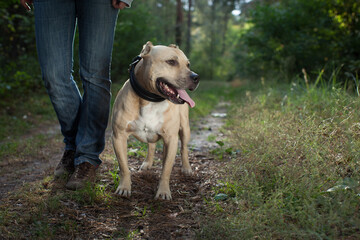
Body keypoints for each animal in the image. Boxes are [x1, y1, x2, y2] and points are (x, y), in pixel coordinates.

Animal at [112, 41, 200, 201]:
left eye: (188, 64)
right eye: (171, 62)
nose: (196, 77)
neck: (151, 100)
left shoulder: (171, 139)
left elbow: (166, 170)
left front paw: (163, 191)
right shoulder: (118, 136)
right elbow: (124, 167)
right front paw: (124, 188)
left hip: (185, 128)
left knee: (184, 148)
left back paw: (186, 168)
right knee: (151, 146)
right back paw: (148, 163)